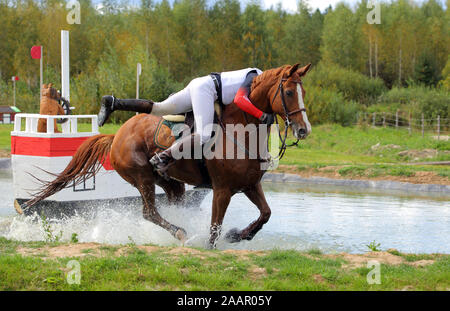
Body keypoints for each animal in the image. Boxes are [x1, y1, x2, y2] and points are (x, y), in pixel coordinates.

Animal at [22, 63, 312, 249]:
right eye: (288, 92)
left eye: (303, 92)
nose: (303, 129)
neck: (242, 131)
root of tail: (116, 136)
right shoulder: (222, 190)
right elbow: (214, 229)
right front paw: (213, 245)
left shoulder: (250, 185)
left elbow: (265, 214)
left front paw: (237, 235)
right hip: (142, 177)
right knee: (149, 212)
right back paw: (182, 234)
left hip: (171, 183)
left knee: (157, 110)